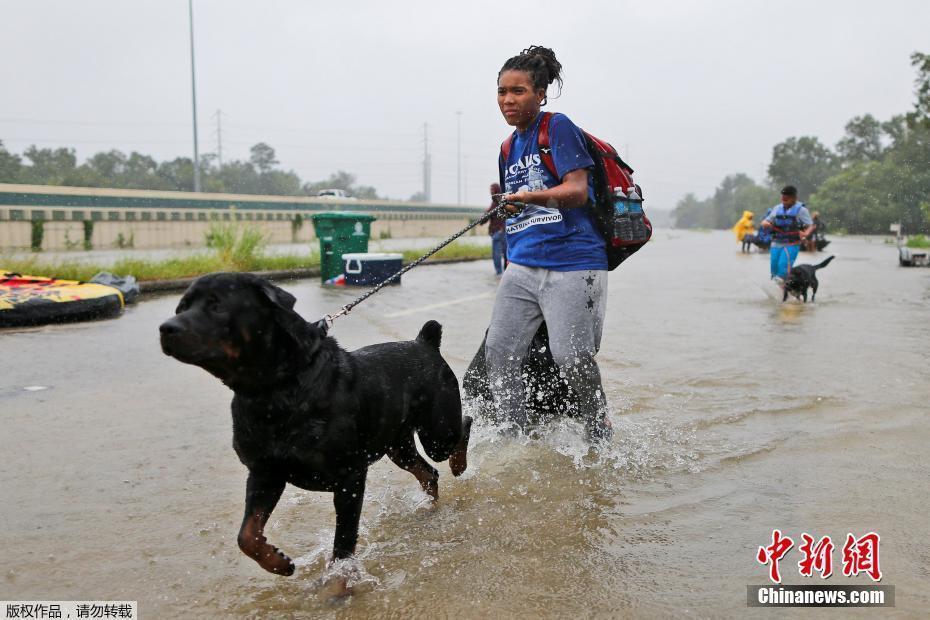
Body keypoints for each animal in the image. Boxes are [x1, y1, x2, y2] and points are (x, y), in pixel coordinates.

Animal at [159, 274, 472, 580]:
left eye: (217, 304)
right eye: (182, 306)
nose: (165, 328)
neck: (274, 391)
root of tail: (424, 342)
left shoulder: (349, 478)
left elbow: (343, 543)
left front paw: (340, 583)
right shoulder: (265, 473)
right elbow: (246, 535)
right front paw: (279, 562)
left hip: (437, 433)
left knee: (463, 426)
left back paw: (458, 465)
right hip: (398, 446)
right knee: (428, 473)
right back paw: (428, 508)